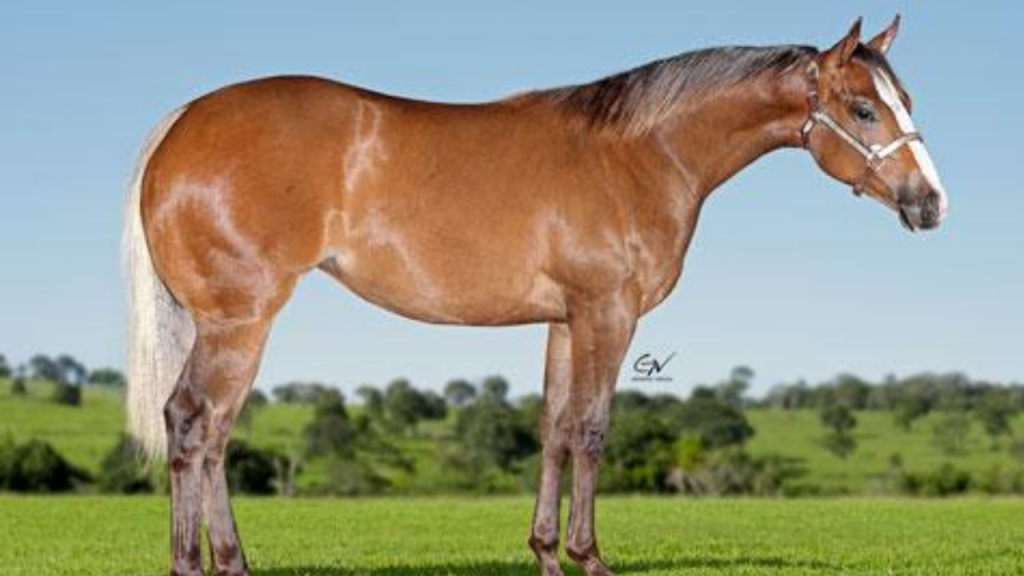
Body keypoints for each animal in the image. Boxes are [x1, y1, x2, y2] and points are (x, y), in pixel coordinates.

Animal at [123, 16, 946, 573]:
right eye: (864, 108)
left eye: (905, 98)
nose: (931, 203)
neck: (639, 154)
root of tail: (181, 125)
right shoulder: (608, 312)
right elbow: (591, 429)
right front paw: (590, 556)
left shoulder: (563, 321)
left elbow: (552, 429)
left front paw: (547, 552)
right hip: (241, 319)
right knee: (194, 424)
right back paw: (196, 563)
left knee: (211, 434)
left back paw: (231, 561)